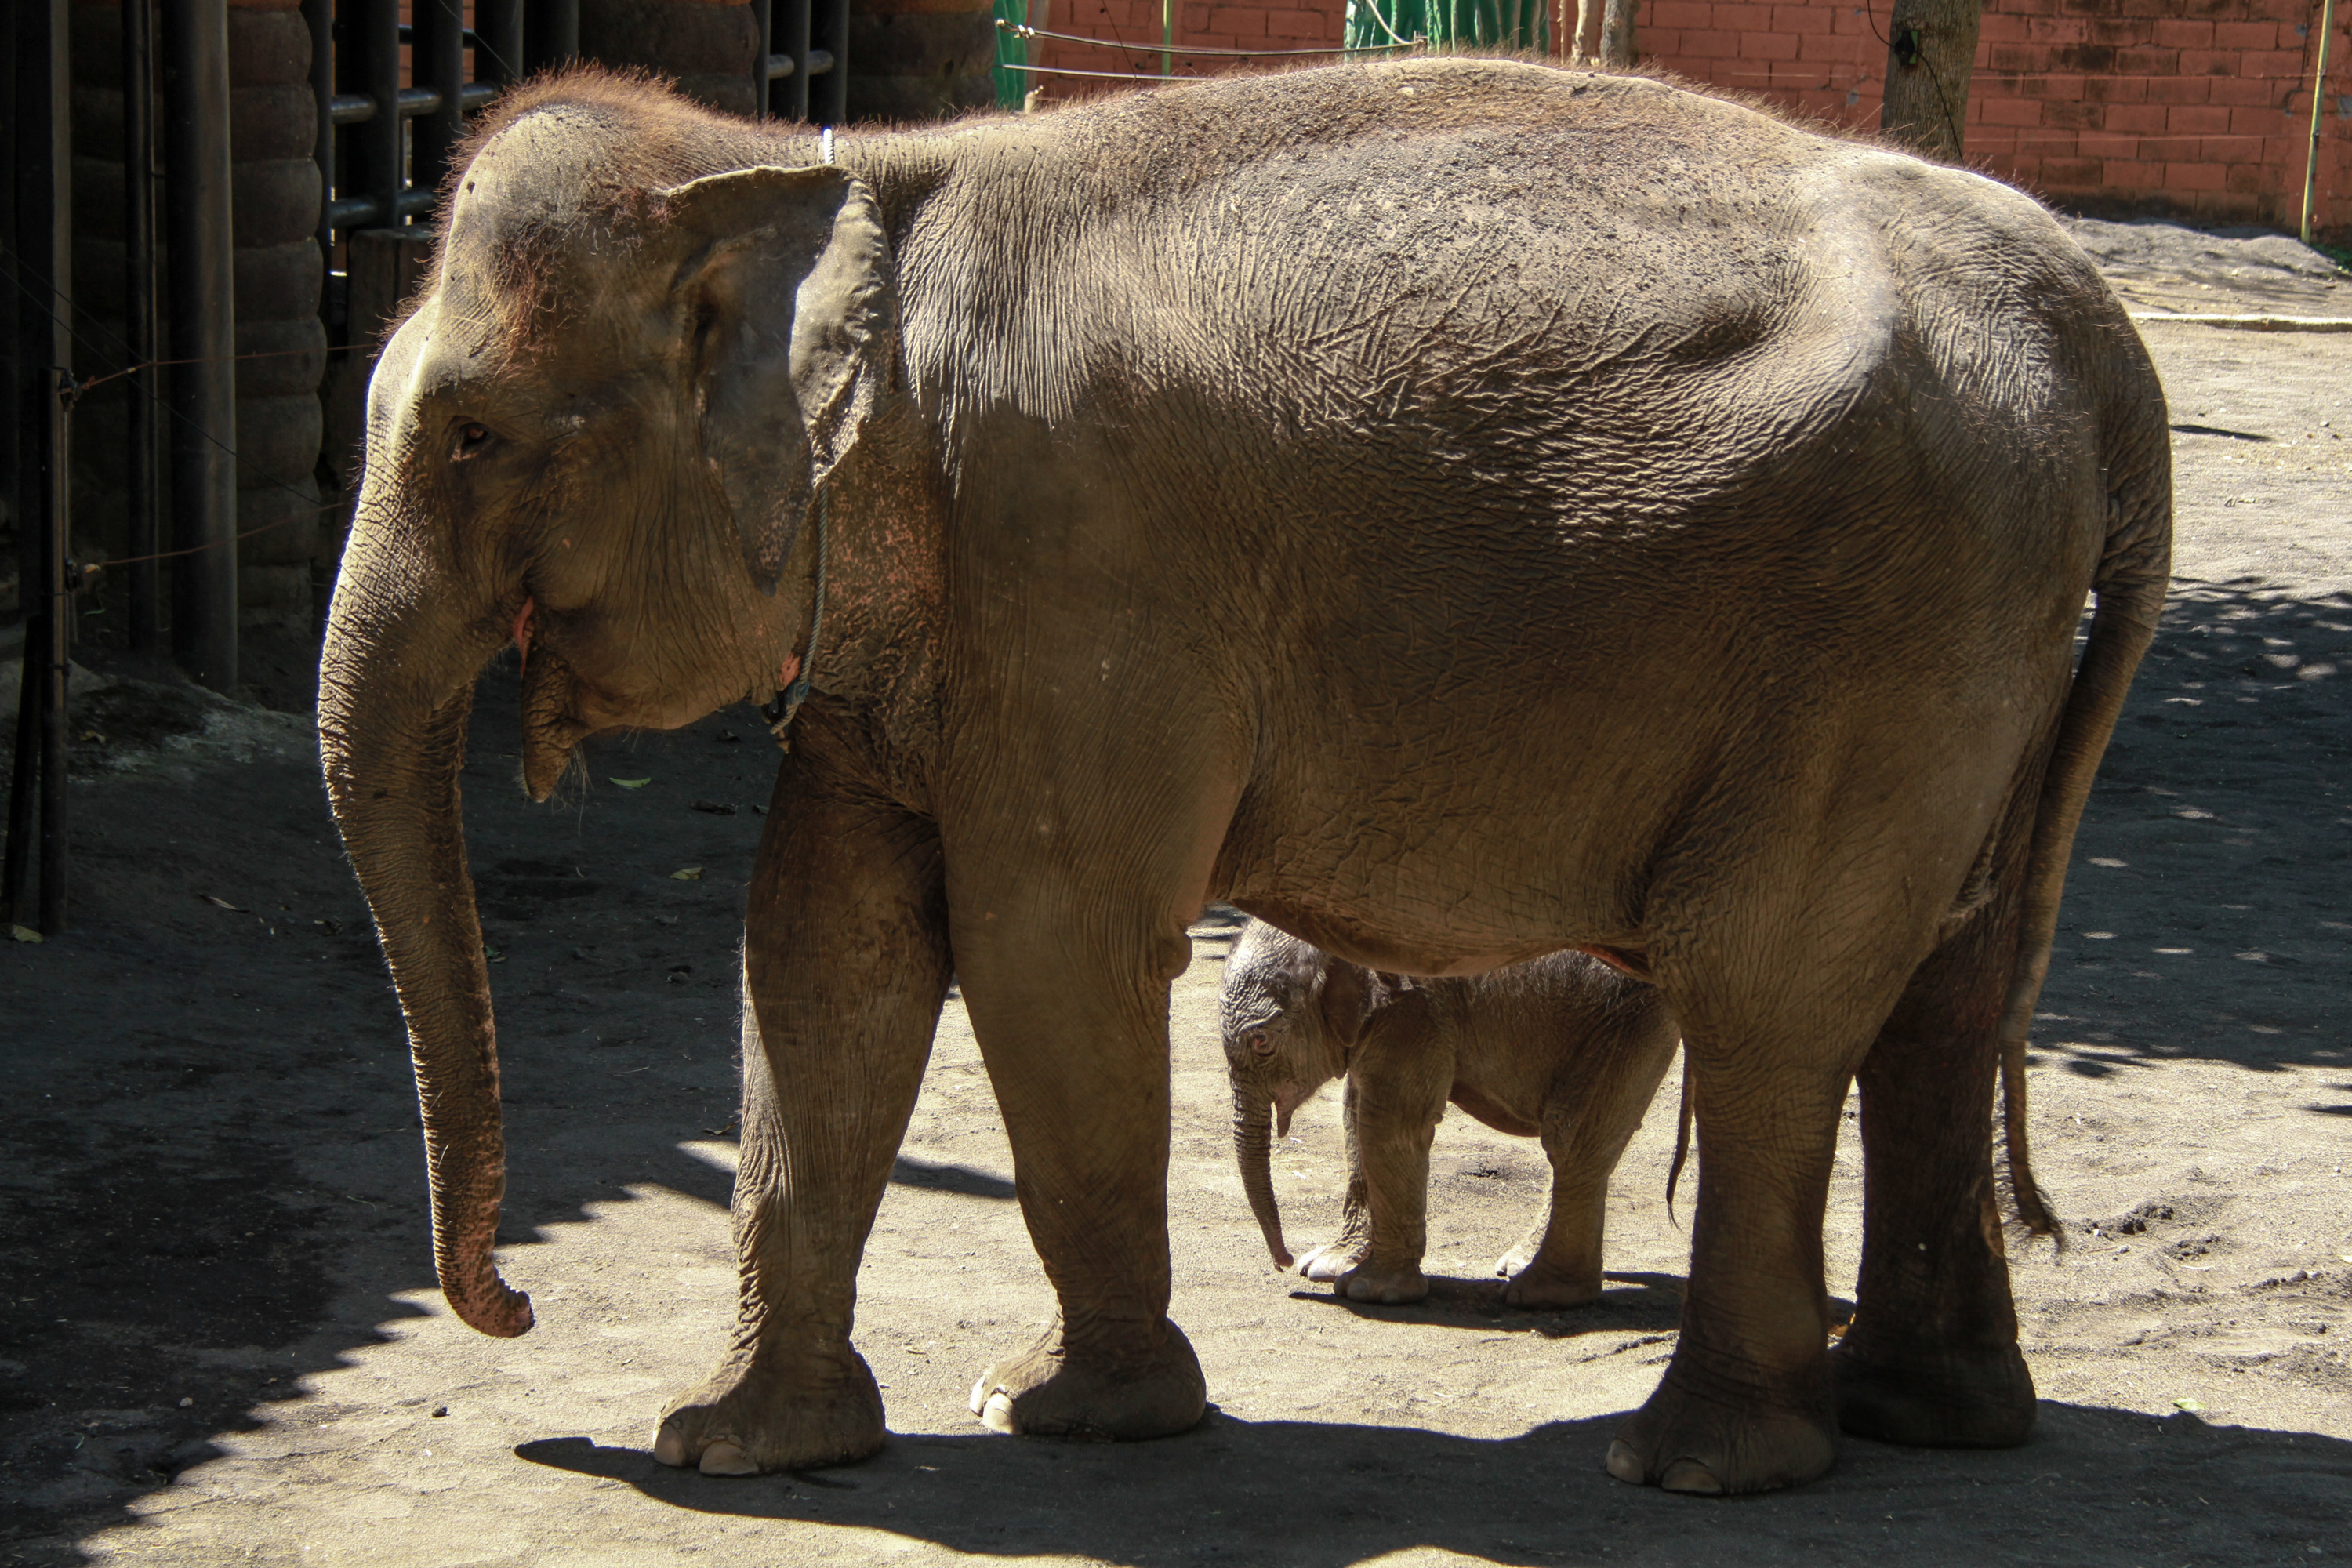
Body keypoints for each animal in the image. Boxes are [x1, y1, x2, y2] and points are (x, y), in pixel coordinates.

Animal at [1223, 921, 1684, 1316]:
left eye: (1261, 1041)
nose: (1284, 1263)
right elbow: (1355, 1111)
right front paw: (1326, 1266)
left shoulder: (1415, 1006)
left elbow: (1390, 1122)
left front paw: (1368, 1291)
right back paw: (1520, 1268)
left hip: (1626, 1017)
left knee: (1571, 1138)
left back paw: (1540, 1295)